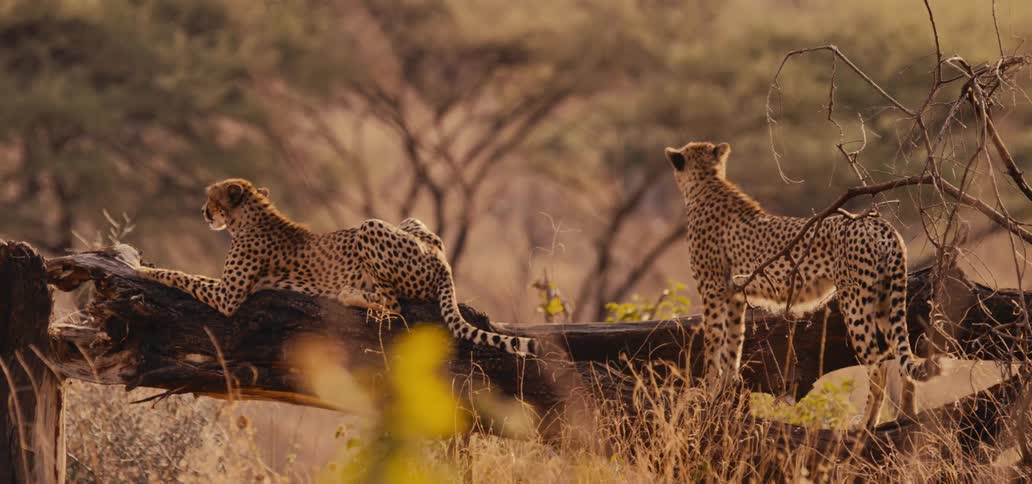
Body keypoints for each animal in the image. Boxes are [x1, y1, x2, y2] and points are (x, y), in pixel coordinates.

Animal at [116, 178, 538, 356]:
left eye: (211, 197)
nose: (202, 212)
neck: (251, 217)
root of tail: (442, 262)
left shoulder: (228, 296)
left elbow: (180, 274)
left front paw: (139, 267)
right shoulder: (225, 290)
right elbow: (187, 274)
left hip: (370, 227)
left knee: (394, 306)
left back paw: (353, 295)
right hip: (411, 222)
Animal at [664, 141, 939, 428]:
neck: (706, 183)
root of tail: (879, 222)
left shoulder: (713, 290)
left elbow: (713, 342)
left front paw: (708, 391)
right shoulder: (734, 296)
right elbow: (732, 345)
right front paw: (724, 394)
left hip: (855, 301)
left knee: (878, 366)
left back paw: (865, 423)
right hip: (886, 299)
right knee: (901, 356)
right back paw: (906, 415)